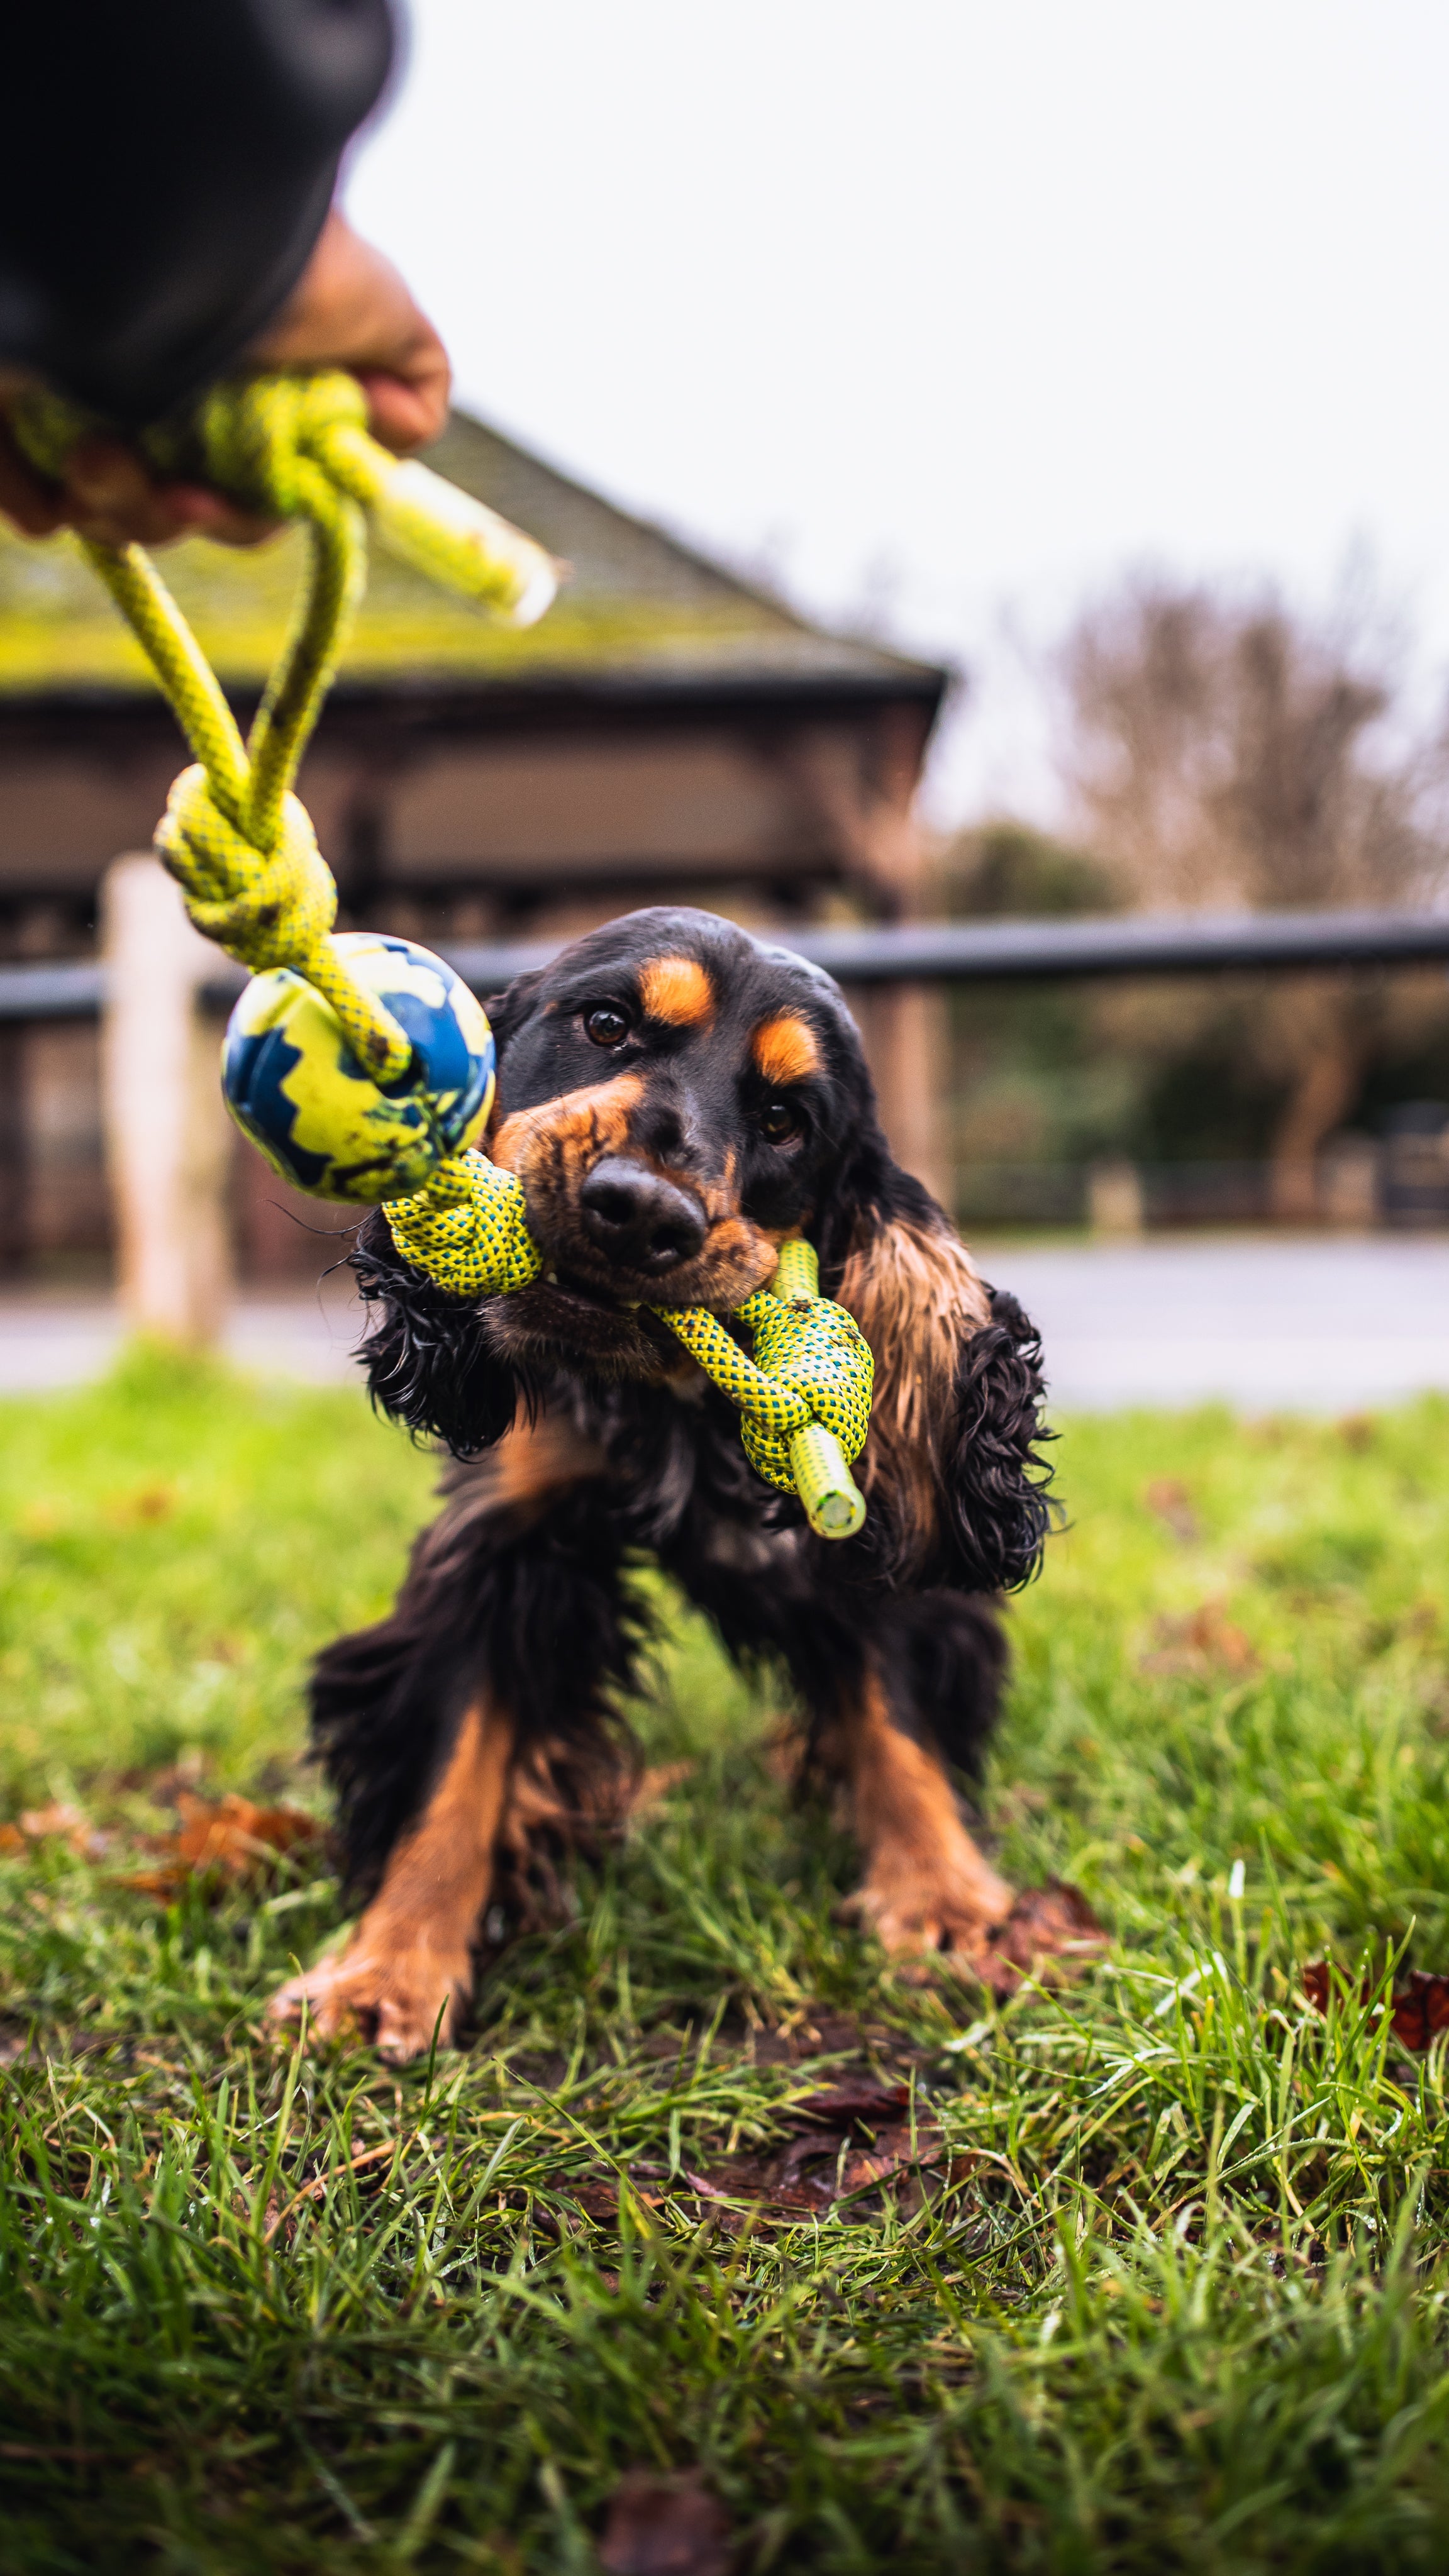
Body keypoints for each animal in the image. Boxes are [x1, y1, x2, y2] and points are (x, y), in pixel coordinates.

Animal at [270, 896, 1057, 2060]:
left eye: (785, 1121)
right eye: (605, 1026)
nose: (642, 1211)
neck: (663, 1403)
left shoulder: (855, 1538)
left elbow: (898, 1712)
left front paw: (944, 1898)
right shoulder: (506, 1548)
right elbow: (456, 1754)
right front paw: (387, 1966)